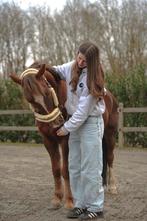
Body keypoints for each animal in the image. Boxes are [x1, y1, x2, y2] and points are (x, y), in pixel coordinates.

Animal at [10, 62, 118, 209]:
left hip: (109, 134)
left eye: (47, 91)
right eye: (30, 101)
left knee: (110, 158)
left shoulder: (65, 141)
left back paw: (112, 187)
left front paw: (69, 200)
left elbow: (65, 170)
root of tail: (109, 96)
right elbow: (56, 169)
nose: (56, 123)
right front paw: (57, 198)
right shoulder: (48, 141)